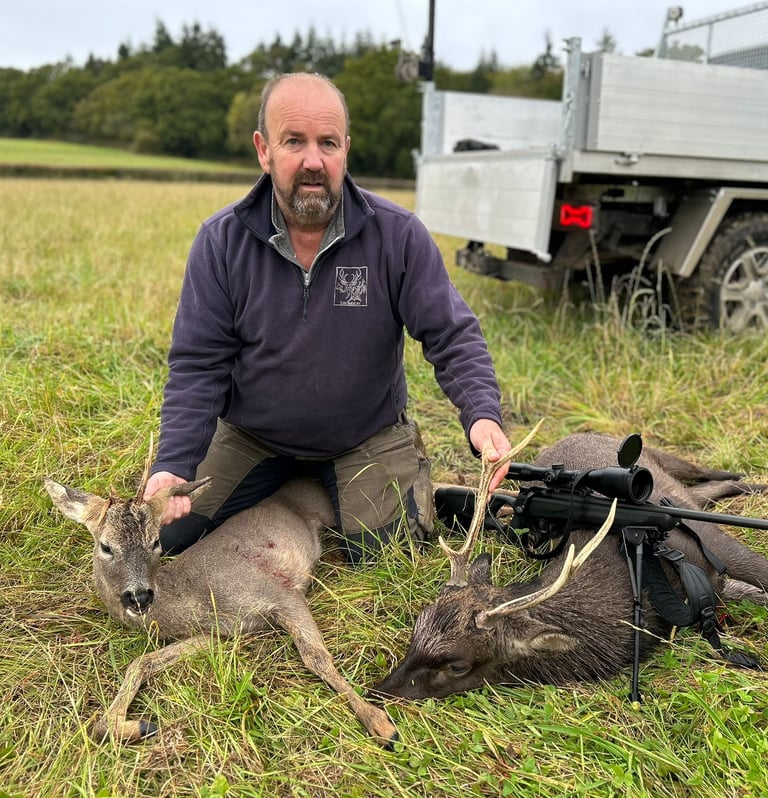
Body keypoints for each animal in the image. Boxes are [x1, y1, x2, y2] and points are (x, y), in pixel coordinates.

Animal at [44, 468, 399, 748]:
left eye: (156, 541)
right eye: (106, 546)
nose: (140, 596)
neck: (199, 593)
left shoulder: (279, 590)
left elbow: (316, 658)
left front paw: (381, 725)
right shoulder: (214, 635)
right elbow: (140, 663)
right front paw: (135, 726)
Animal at [372, 427, 768, 700]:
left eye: (457, 665)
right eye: (415, 630)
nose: (379, 692)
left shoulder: (722, 547)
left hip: (670, 464)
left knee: (711, 475)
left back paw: (747, 479)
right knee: (707, 490)